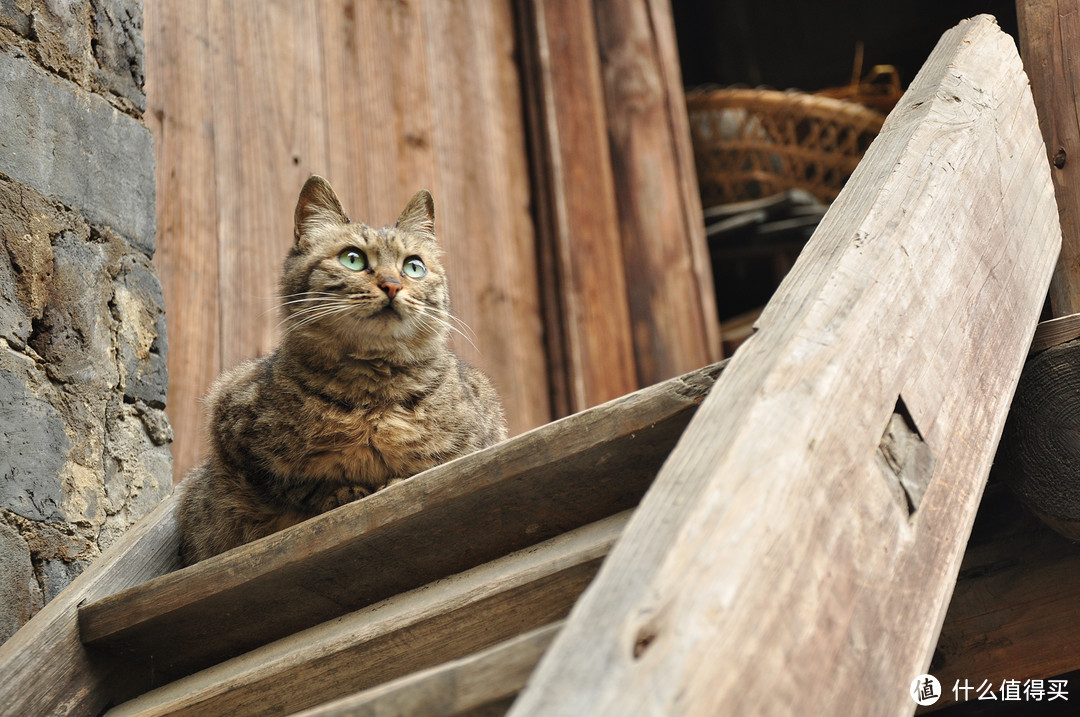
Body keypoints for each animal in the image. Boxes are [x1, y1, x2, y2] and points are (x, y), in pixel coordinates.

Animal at [177, 176, 505, 561]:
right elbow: (295, 487)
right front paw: (344, 492)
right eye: (353, 259)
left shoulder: (482, 435)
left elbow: (428, 468)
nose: (393, 285)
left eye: (414, 266)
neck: (374, 394)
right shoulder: (231, 421)